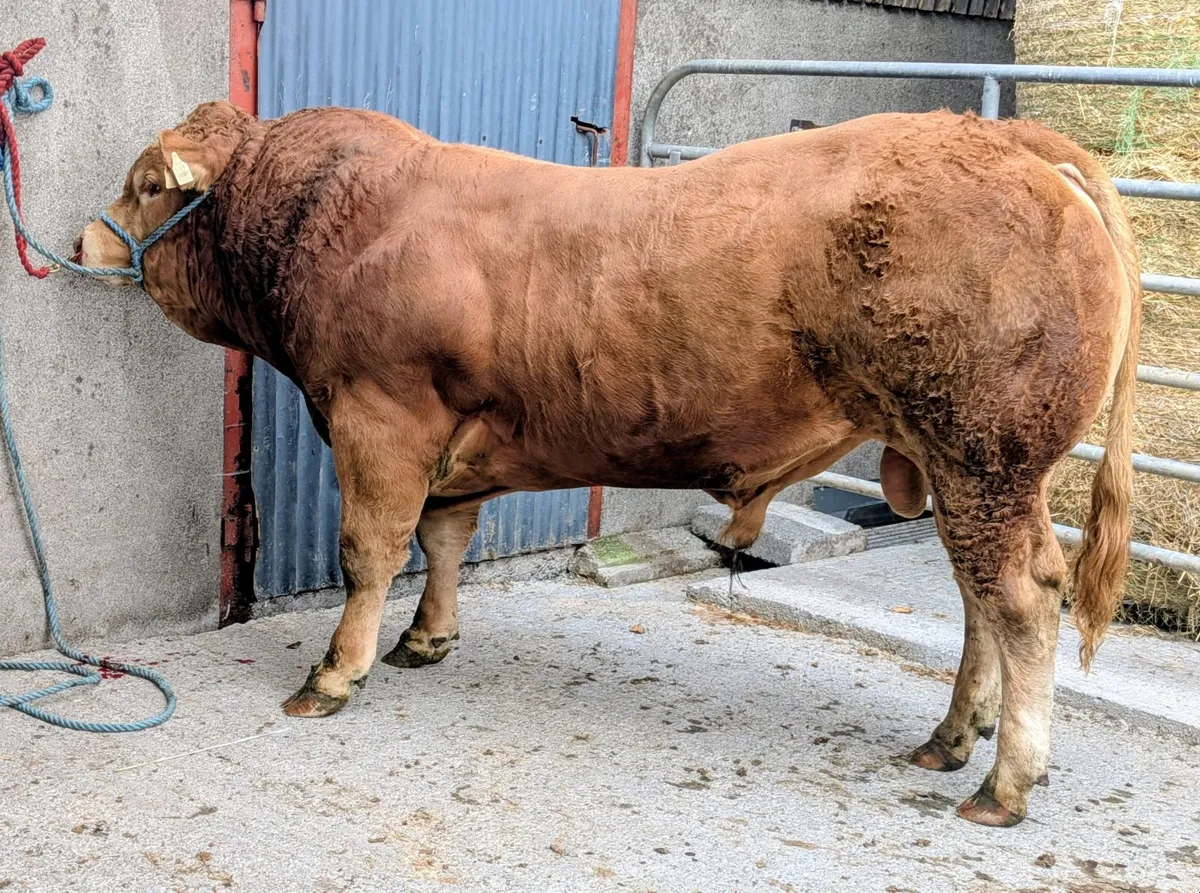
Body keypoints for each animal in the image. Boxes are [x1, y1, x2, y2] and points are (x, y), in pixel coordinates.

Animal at [78, 100, 1140, 827]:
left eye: (145, 181)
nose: (86, 235)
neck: (336, 222)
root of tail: (1007, 140)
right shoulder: (458, 442)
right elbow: (445, 537)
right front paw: (428, 637)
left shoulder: (381, 416)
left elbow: (370, 551)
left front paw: (336, 674)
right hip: (965, 466)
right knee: (978, 598)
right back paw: (952, 737)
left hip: (984, 455)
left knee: (1021, 597)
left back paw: (1005, 779)